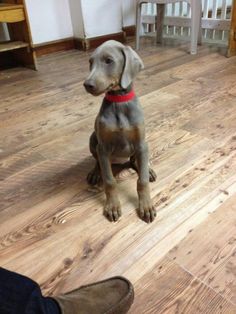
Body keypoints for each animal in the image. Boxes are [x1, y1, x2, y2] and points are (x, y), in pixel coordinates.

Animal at [83, 39, 157, 223]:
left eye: (108, 61)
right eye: (90, 62)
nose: (87, 84)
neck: (119, 101)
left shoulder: (140, 144)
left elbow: (142, 181)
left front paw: (146, 206)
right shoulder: (103, 147)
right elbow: (109, 181)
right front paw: (112, 206)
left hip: (142, 147)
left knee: (136, 162)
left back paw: (148, 169)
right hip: (93, 140)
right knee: (98, 161)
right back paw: (95, 172)